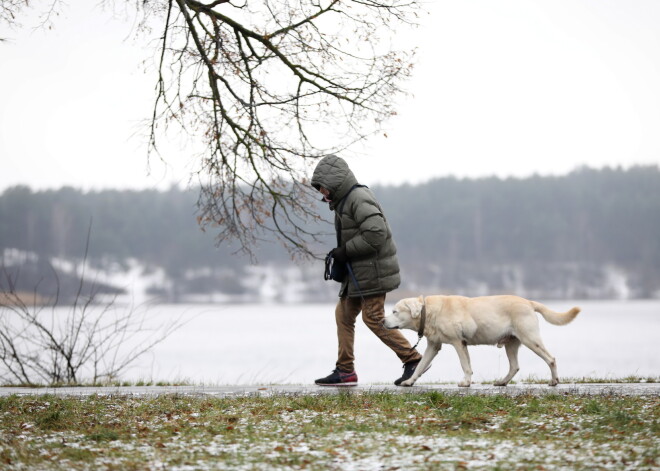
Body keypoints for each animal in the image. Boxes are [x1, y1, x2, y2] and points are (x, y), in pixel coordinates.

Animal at [384, 296, 580, 390]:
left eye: (394, 311)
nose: (381, 321)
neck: (429, 312)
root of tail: (529, 302)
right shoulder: (433, 345)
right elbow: (420, 366)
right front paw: (409, 381)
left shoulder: (458, 342)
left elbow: (465, 365)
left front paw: (465, 383)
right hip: (511, 343)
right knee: (514, 366)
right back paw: (502, 382)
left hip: (530, 339)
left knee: (551, 359)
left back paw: (554, 381)